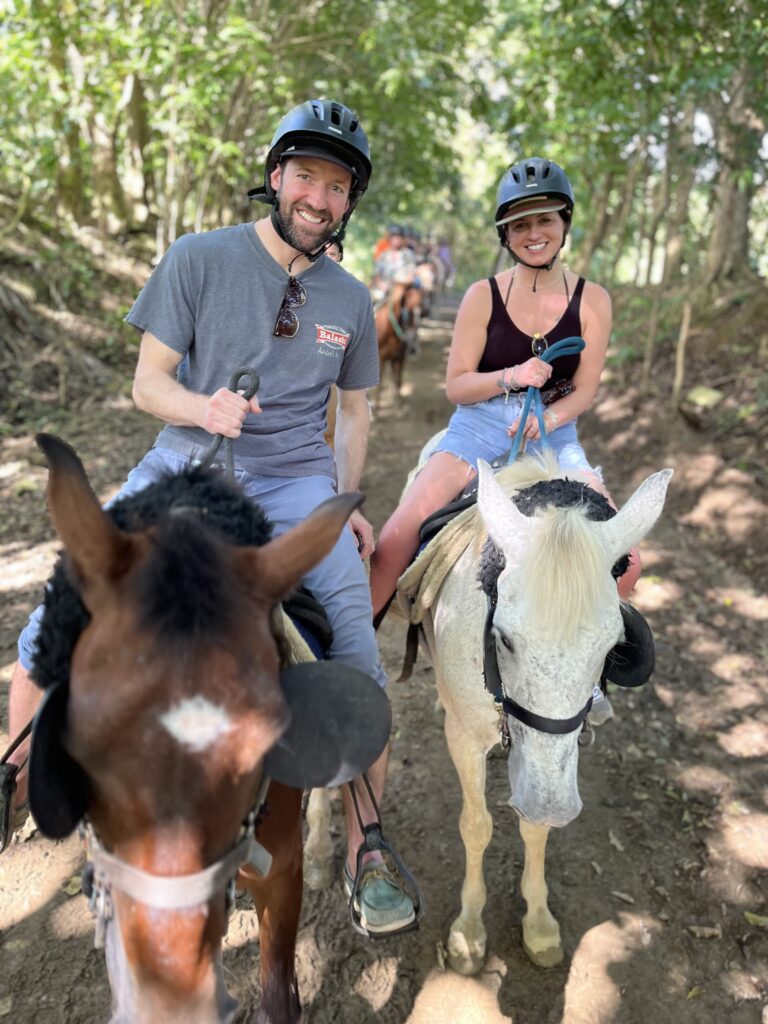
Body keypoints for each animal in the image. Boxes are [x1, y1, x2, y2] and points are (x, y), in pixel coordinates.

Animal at [372, 280, 421, 411]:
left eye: (421, 311)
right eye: (407, 312)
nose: (412, 347)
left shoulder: (400, 358)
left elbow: (398, 380)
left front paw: (399, 403)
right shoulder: (381, 359)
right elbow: (379, 382)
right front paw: (376, 405)